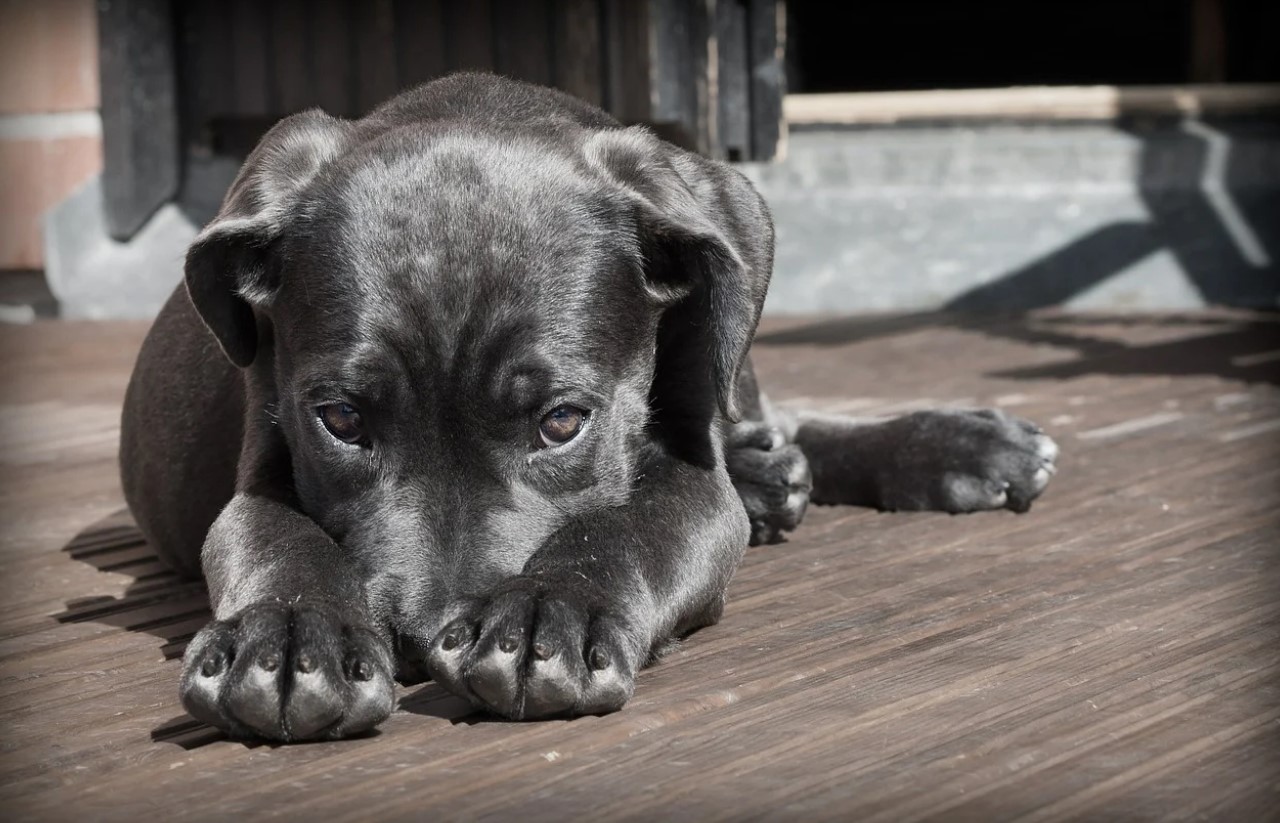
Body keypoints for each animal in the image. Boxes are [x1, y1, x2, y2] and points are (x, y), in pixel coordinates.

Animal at [120, 73, 1059, 742]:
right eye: (341, 421)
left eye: (563, 422)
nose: (423, 640)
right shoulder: (263, 456)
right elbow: (274, 535)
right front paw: (286, 636)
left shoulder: (690, 476)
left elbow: (628, 525)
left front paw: (549, 611)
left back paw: (954, 446)